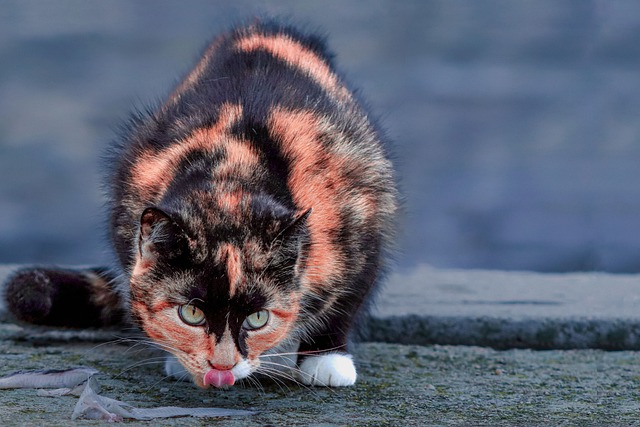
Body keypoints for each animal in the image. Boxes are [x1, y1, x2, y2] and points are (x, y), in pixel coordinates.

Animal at [2, 20, 398, 390]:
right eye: (190, 313)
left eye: (259, 318)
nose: (222, 366)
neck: (233, 173)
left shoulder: (359, 212)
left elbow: (350, 294)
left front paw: (327, 360)